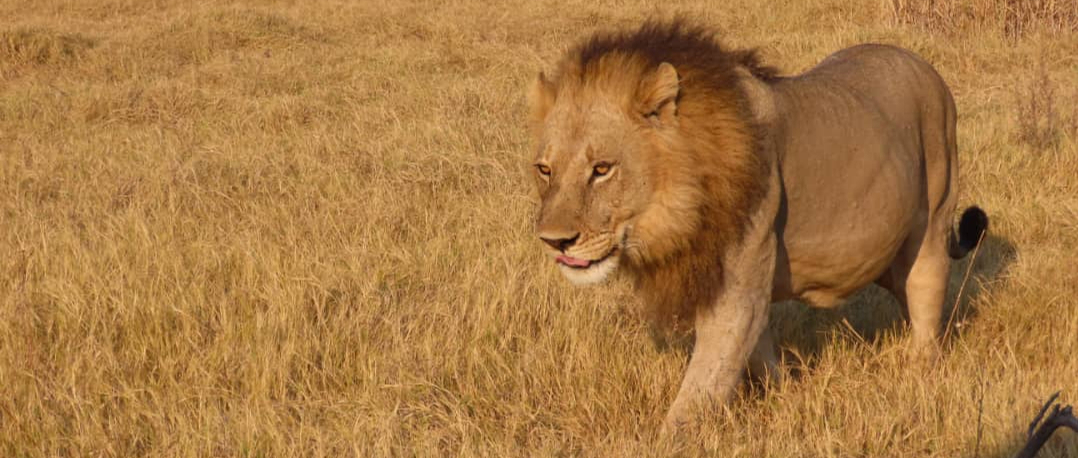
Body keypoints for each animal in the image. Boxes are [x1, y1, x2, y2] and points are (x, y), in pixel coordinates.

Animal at [526, 20, 989, 430]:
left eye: (602, 169)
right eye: (545, 169)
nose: (554, 241)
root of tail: (922, 63)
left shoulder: (738, 284)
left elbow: (703, 385)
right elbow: (758, 353)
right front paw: (787, 397)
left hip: (934, 214)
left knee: (926, 292)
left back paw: (921, 369)